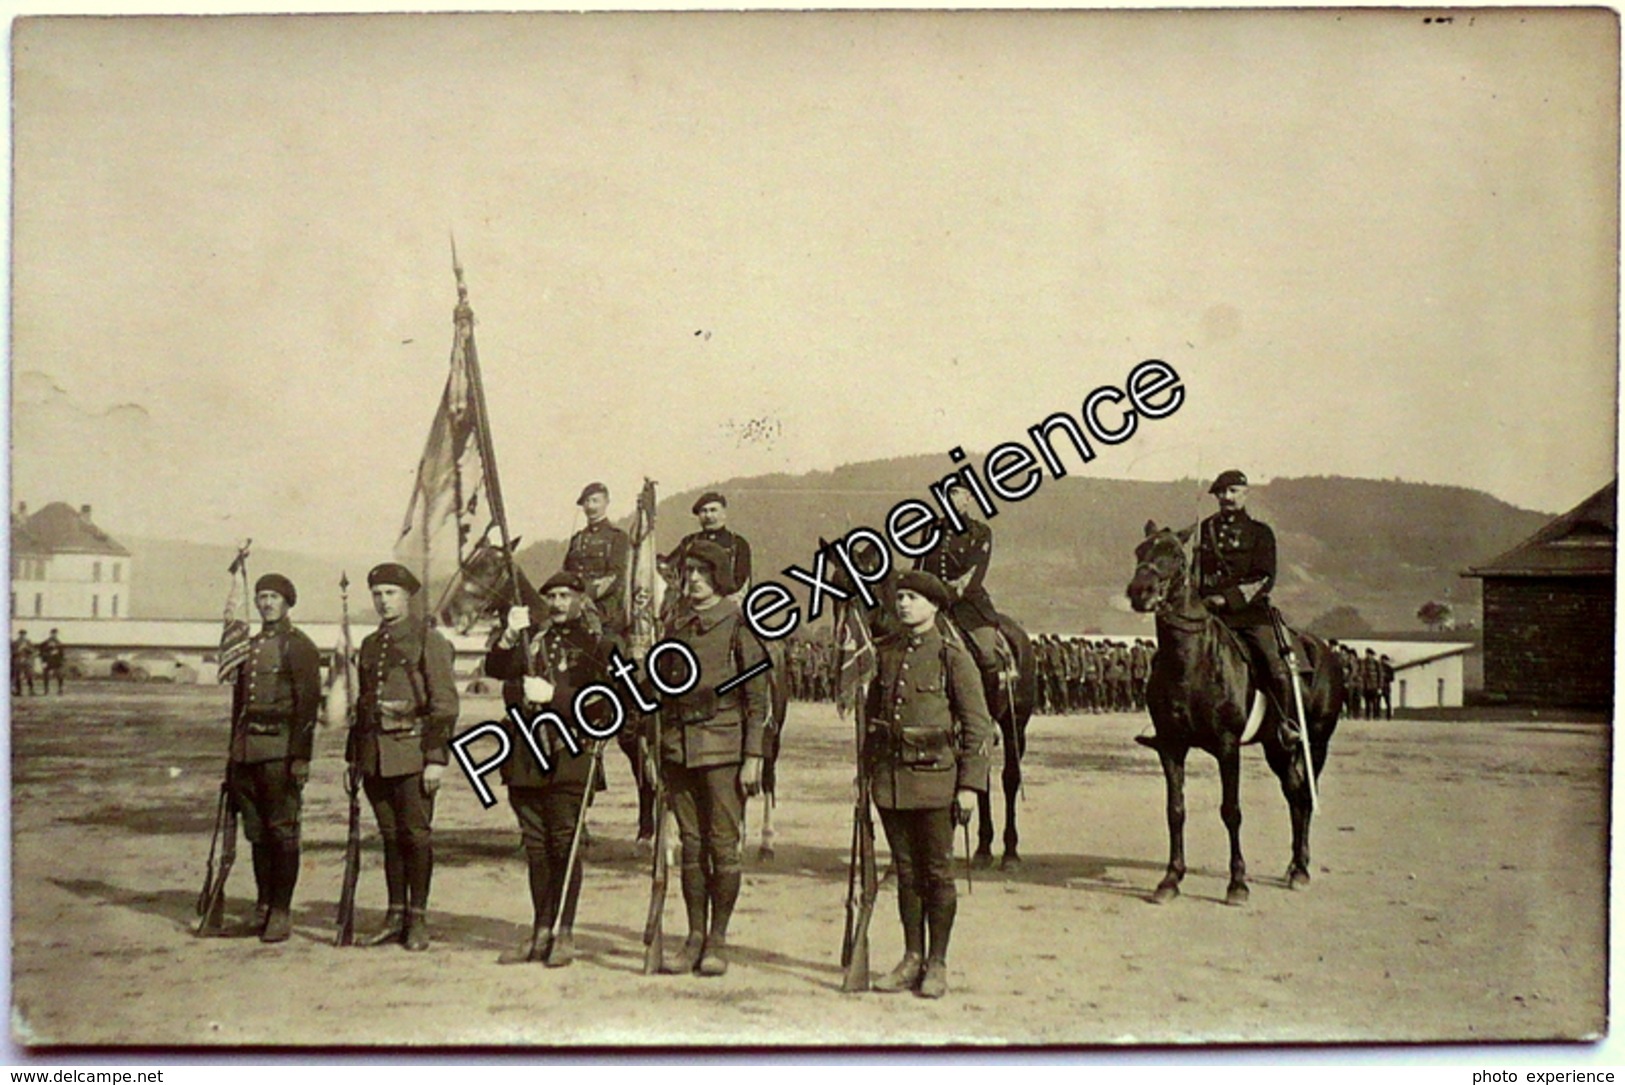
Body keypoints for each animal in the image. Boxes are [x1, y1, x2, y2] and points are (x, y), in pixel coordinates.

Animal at [1124, 519, 1339, 903]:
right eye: (1140, 550)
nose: (1140, 590)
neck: (1192, 662)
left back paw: (1301, 868)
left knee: (1305, 795)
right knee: (1295, 794)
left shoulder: (1227, 747)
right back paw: (1293, 866)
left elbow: (1231, 811)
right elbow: (1175, 810)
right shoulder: (1171, 747)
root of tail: (1323, 649)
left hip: (1315, 744)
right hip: (1276, 747)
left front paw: (1237, 883)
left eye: (1176, 555)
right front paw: (1170, 879)